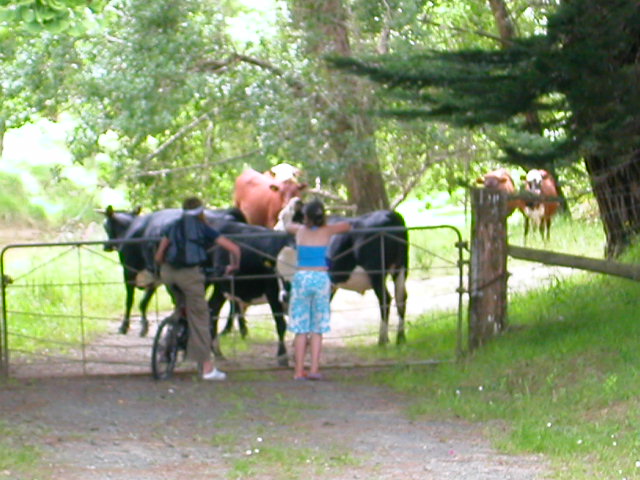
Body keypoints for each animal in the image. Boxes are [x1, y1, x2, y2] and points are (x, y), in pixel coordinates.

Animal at [208, 222, 292, 368]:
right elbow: (281, 324)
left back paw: (218, 353)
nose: (285, 296)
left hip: (220, 286)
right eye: (277, 271)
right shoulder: (272, 293)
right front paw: (282, 357)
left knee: (212, 308)